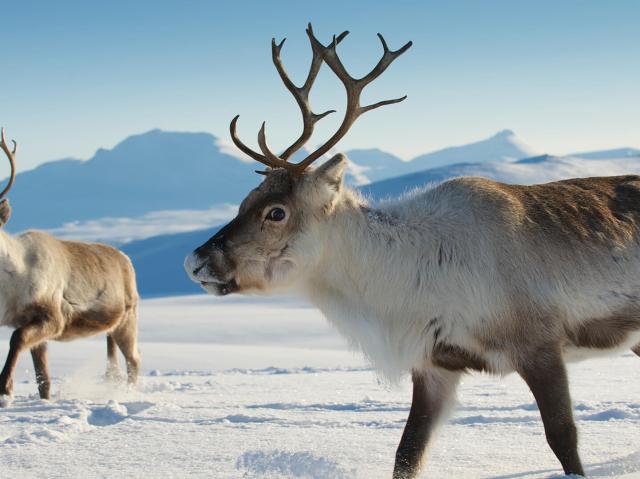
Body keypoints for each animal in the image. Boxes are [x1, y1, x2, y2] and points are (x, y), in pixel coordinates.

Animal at [0, 129, 140, 405]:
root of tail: (125, 258)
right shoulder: (31, 323)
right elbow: (43, 378)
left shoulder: (53, 317)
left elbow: (16, 339)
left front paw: (4, 390)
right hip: (114, 326)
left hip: (128, 317)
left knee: (134, 361)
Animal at [184, 24, 640, 478]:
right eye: (244, 200)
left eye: (276, 212)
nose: (195, 261)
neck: (409, 275)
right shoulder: (434, 364)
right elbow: (407, 453)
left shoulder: (538, 344)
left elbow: (563, 437)